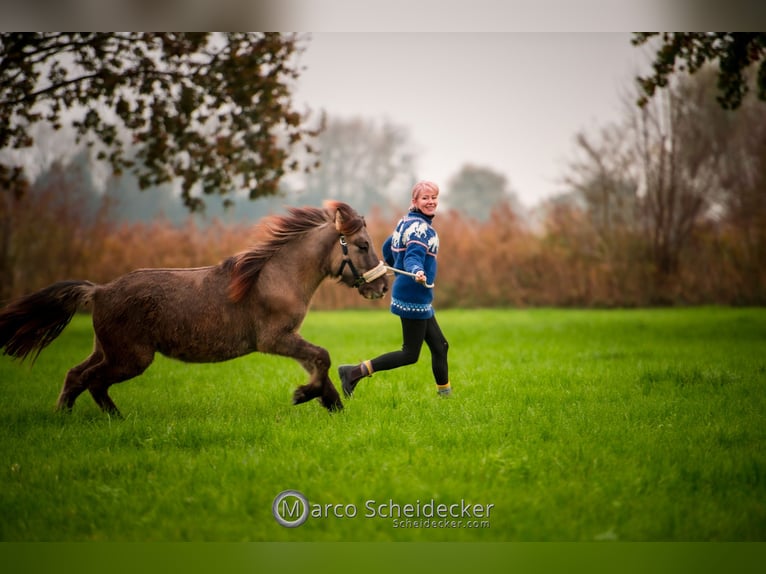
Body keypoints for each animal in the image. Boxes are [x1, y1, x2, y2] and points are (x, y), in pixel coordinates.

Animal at [0, 200, 390, 416]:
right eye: (361, 244)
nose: (383, 286)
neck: (276, 276)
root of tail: (99, 291)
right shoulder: (274, 339)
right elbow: (322, 356)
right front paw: (306, 396)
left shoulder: (288, 338)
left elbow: (317, 363)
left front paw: (330, 402)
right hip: (131, 358)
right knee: (93, 381)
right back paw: (115, 419)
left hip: (107, 350)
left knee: (75, 375)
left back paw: (64, 416)